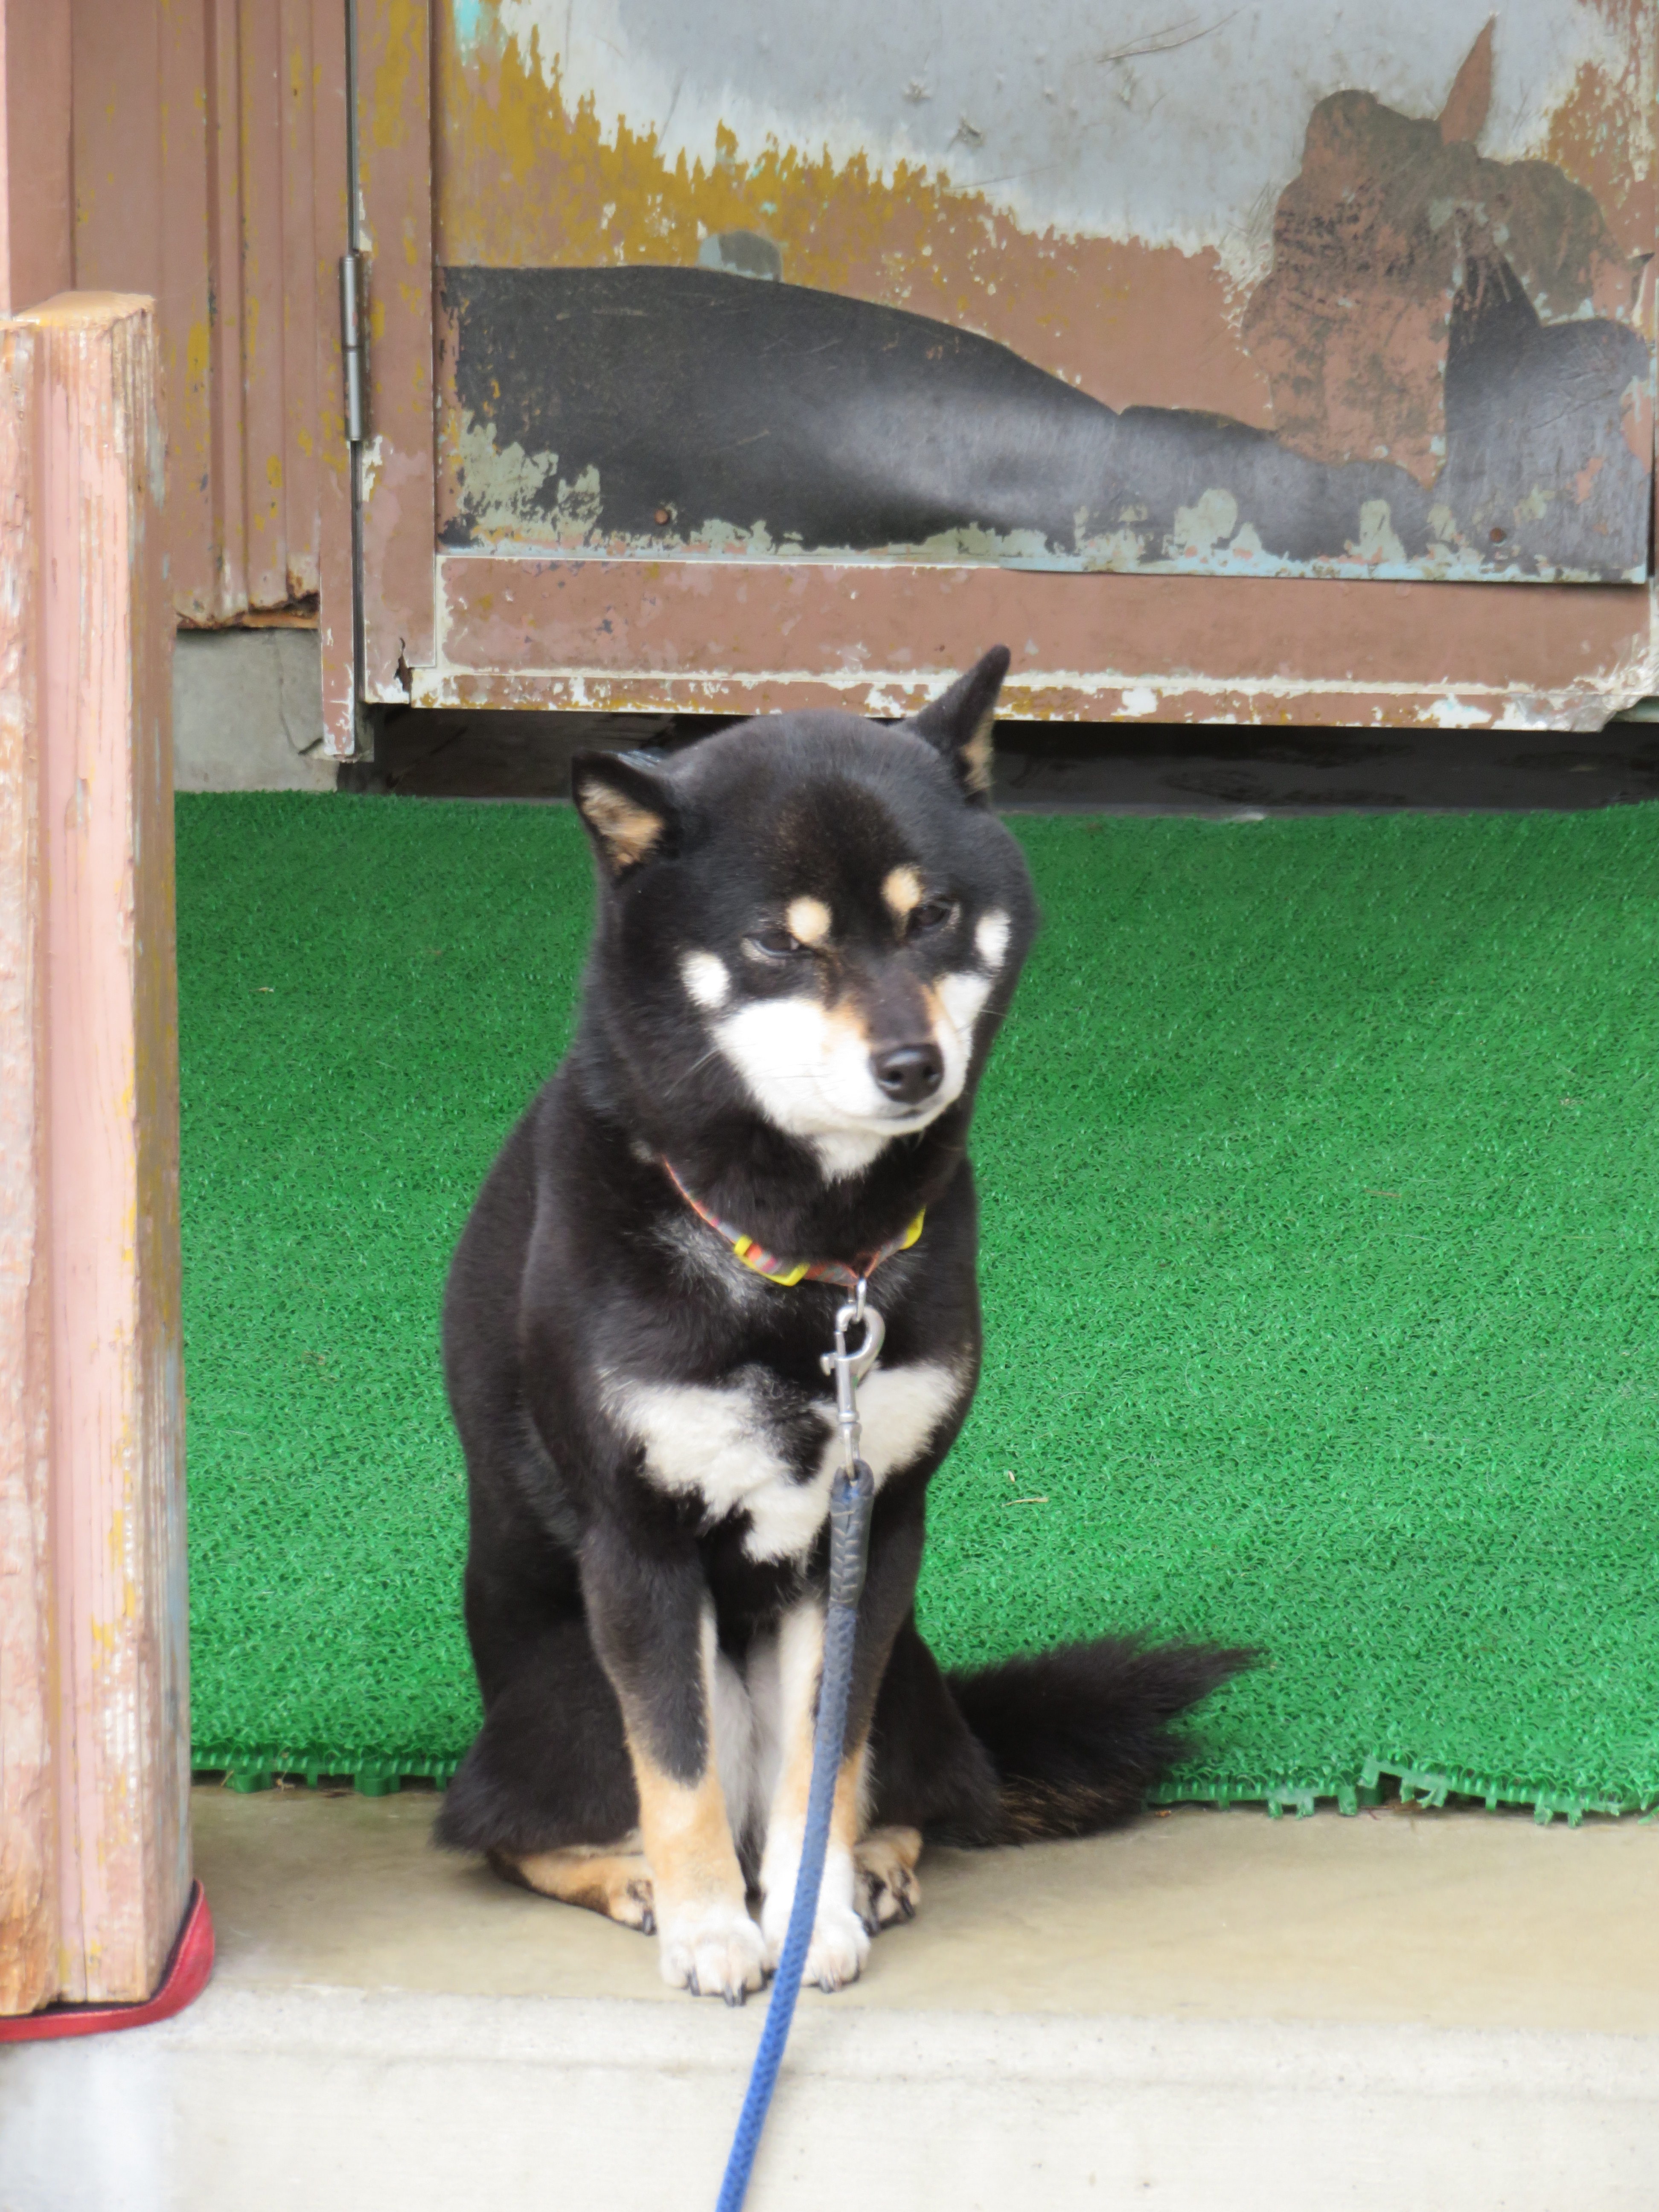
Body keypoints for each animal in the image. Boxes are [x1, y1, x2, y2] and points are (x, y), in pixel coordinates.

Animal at [438, 646, 1247, 2000]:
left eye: (932, 918)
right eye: (777, 943)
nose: (914, 1066)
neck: (811, 1258)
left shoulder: (874, 1530)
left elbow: (826, 1762)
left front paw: (809, 1912)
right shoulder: (640, 1544)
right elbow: (678, 1770)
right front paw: (715, 1927)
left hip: (907, 1658)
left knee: (917, 1781)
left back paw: (869, 1863)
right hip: (567, 1688)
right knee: (500, 1827)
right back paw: (638, 1883)